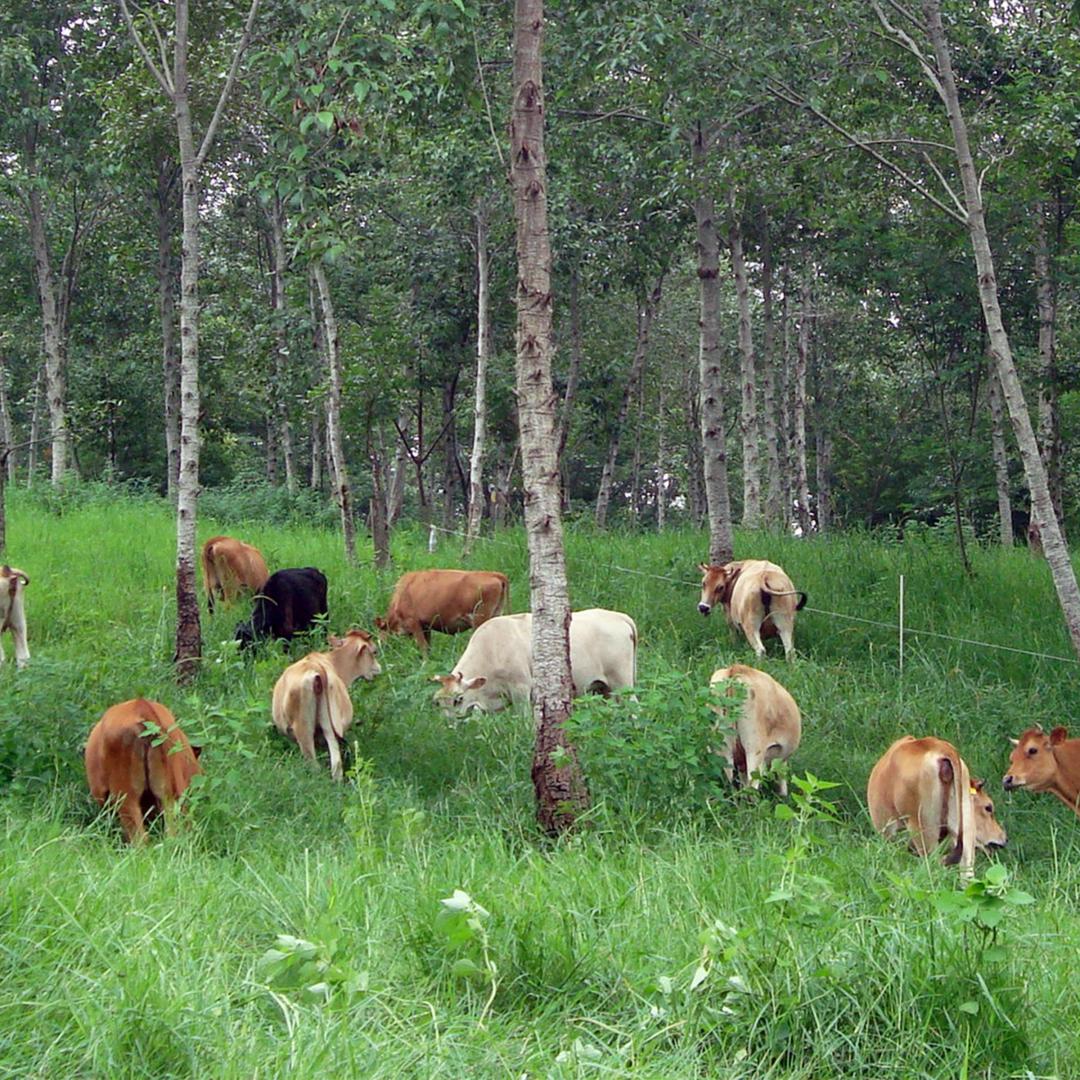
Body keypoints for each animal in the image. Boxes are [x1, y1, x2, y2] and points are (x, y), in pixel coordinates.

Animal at [271, 630, 381, 781]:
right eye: (374, 651)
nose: (379, 668)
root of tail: (317, 669)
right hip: (329, 726)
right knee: (336, 763)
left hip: (303, 727)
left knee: (313, 763)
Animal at [375, 569, 510, 653]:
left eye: (380, 634)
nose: (379, 650)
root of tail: (494, 574)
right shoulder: (426, 626)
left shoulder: (414, 623)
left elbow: (423, 648)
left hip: (479, 620)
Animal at [432, 608, 637, 717]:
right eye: (438, 703)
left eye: (458, 699)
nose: (451, 726)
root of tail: (618, 616)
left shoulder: (521, 689)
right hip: (605, 689)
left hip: (622, 681)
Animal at [867, 735, 1007, 877]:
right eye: (988, 807)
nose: (1003, 839)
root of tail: (941, 747)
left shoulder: (887, 832)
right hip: (965, 837)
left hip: (923, 832)